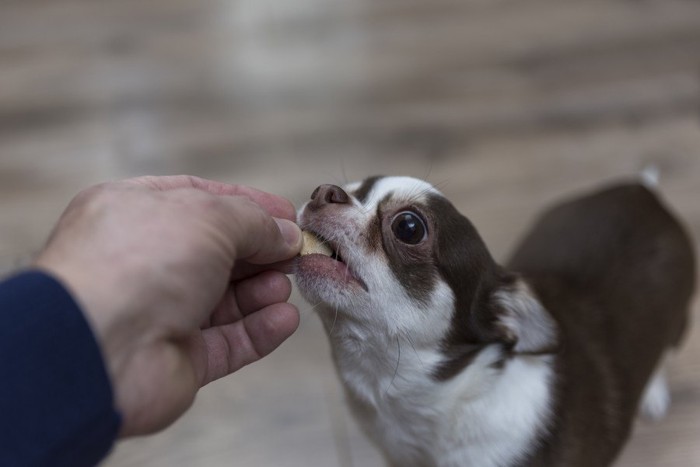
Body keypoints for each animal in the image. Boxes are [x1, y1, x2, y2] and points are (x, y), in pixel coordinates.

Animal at [294, 174, 696, 466]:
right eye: (352, 188)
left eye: (409, 227)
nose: (324, 191)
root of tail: (642, 191)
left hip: (680, 319)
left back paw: (653, 393)